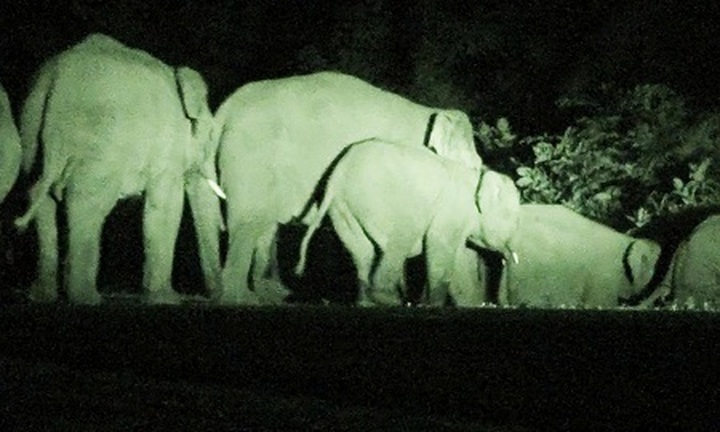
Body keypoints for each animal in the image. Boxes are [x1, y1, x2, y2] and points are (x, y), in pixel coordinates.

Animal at [13, 33, 223, 304]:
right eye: (211, 136)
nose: (218, 297)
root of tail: (55, 81)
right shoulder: (166, 149)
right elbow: (167, 205)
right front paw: (166, 299)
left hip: (30, 132)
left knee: (41, 198)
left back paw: (43, 296)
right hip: (101, 144)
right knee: (88, 201)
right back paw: (87, 298)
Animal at [215, 70, 483, 304]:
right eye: (474, 169)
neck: (431, 113)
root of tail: (227, 107)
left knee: (263, 226)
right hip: (250, 163)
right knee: (248, 224)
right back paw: (240, 298)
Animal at [293, 138, 520, 307]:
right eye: (511, 217)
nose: (503, 303)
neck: (479, 177)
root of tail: (336, 175)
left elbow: (459, 259)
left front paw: (469, 305)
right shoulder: (451, 210)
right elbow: (439, 247)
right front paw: (432, 305)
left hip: (342, 208)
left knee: (362, 251)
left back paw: (368, 301)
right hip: (381, 200)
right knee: (400, 239)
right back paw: (388, 299)